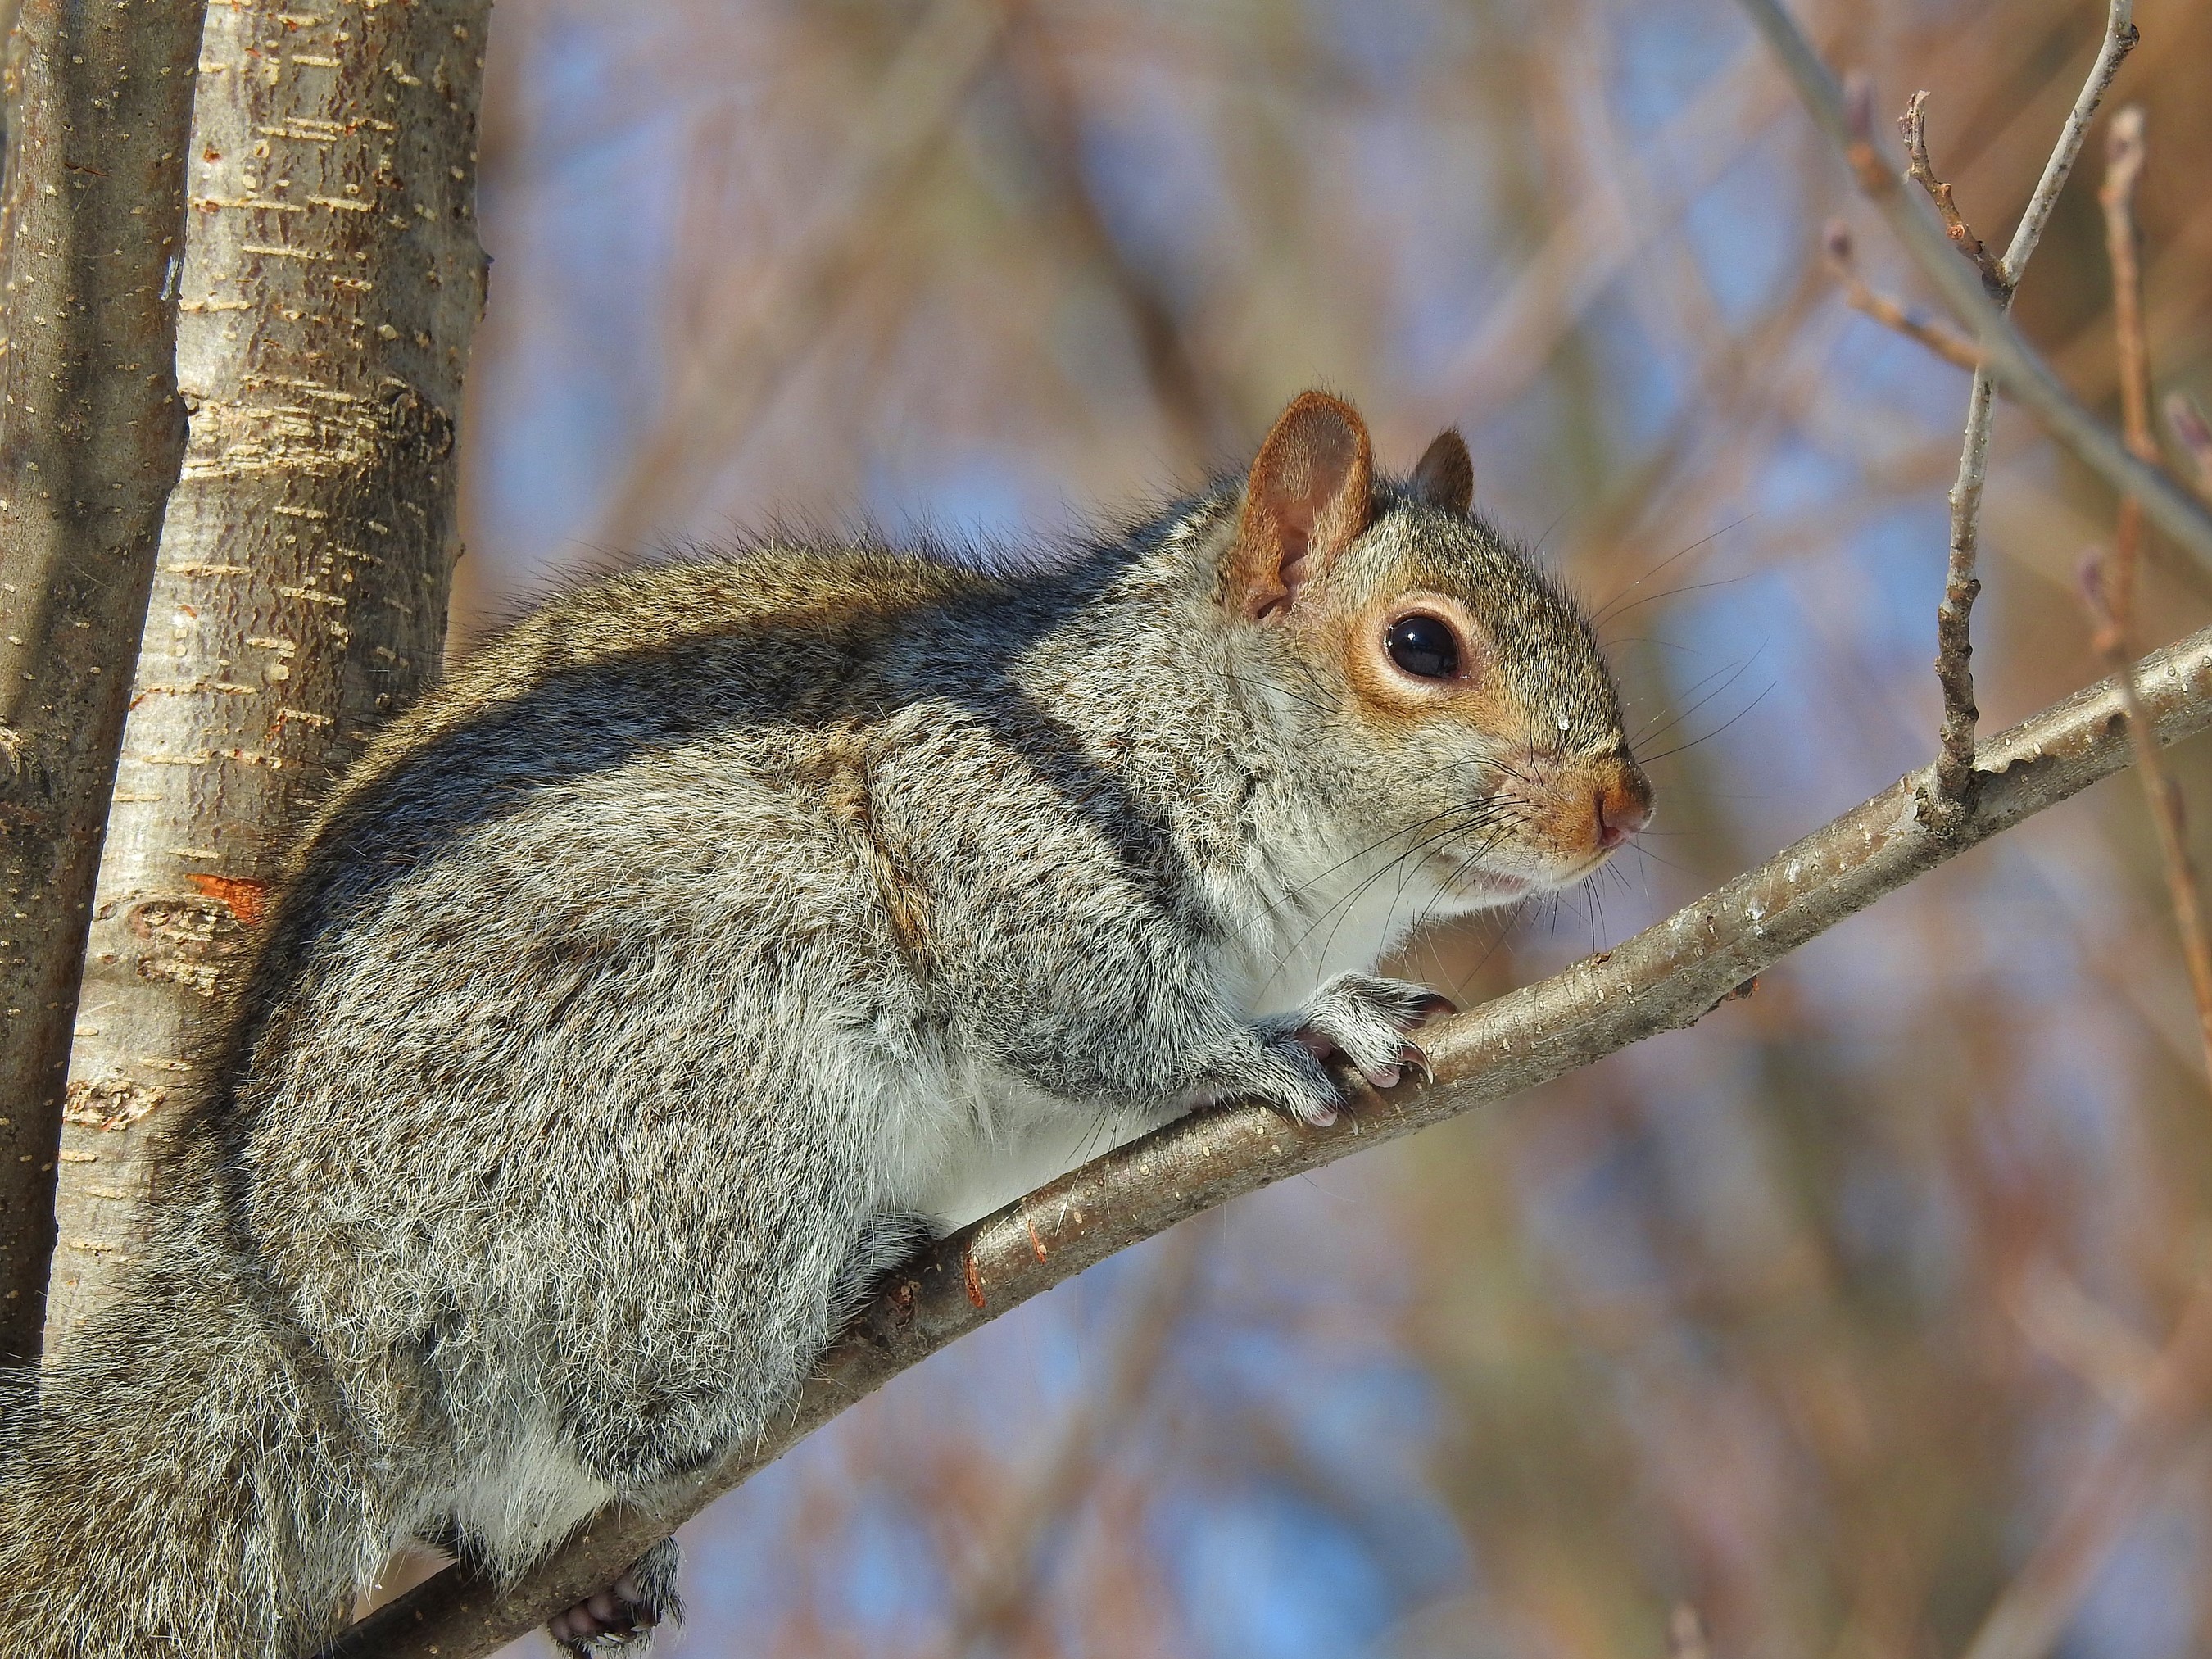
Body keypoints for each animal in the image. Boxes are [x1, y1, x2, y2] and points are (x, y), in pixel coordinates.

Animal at [0, 391, 1649, 1655]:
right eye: (1424, 646)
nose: (1626, 805)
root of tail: (306, 1246)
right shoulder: (990, 819)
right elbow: (1086, 1003)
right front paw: (1277, 1044)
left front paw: (1345, 1007)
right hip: (700, 1094)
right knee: (638, 1394)